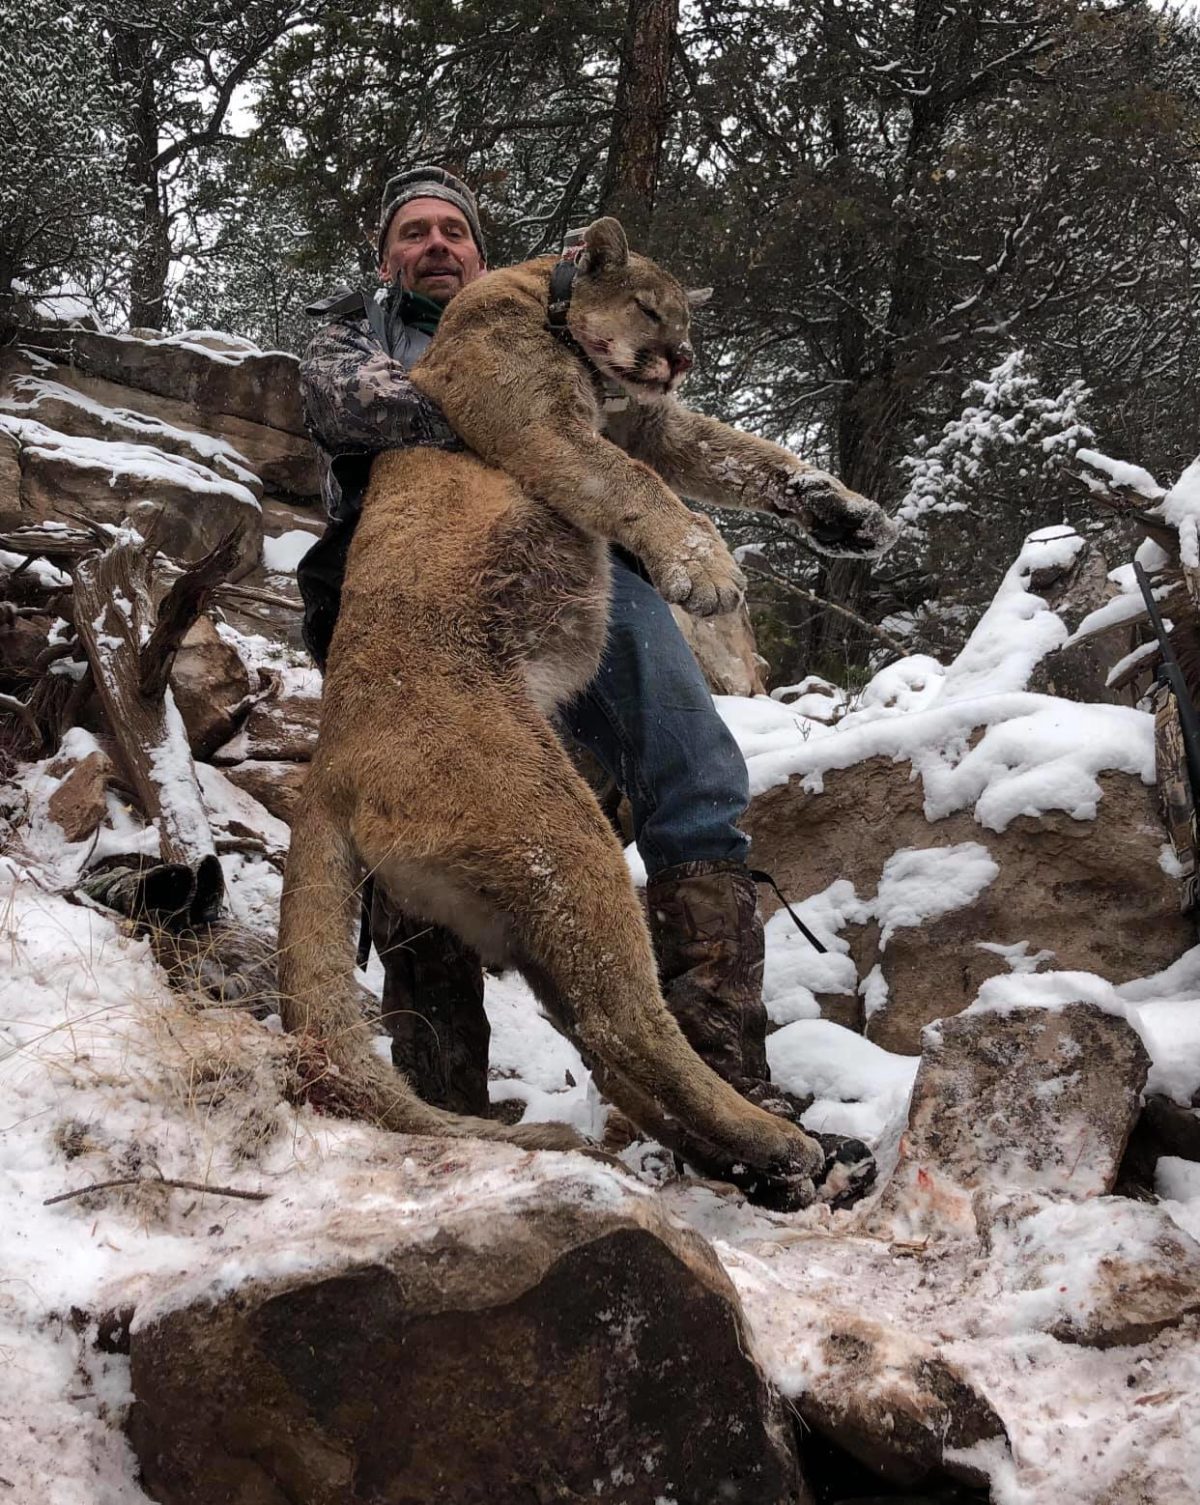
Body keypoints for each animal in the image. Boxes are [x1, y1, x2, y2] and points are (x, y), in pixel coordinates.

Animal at [277, 217, 897, 1209]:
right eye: (649, 307)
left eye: (688, 317)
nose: (681, 357)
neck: (547, 299)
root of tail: (328, 766)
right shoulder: (543, 422)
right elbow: (639, 482)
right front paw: (707, 569)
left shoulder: (651, 418)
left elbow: (739, 452)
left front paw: (844, 511)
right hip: (558, 836)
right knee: (626, 1023)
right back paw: (781, 1145)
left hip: (520, 907)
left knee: (609, 1046)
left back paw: (773, 1158)